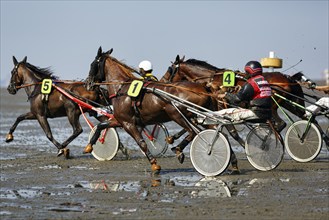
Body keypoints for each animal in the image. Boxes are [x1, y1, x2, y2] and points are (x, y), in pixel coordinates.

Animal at [83, 46, 214, 174]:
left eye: (92, 64)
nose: (87, 83)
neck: (121, 88)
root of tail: (203, 88)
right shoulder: (120, 120)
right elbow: (101, 126)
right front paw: (89, 146)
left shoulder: (128, 123)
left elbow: (141, 142)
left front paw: (154, 164)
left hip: (177, 115)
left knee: (193, 132)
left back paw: (179, 149)